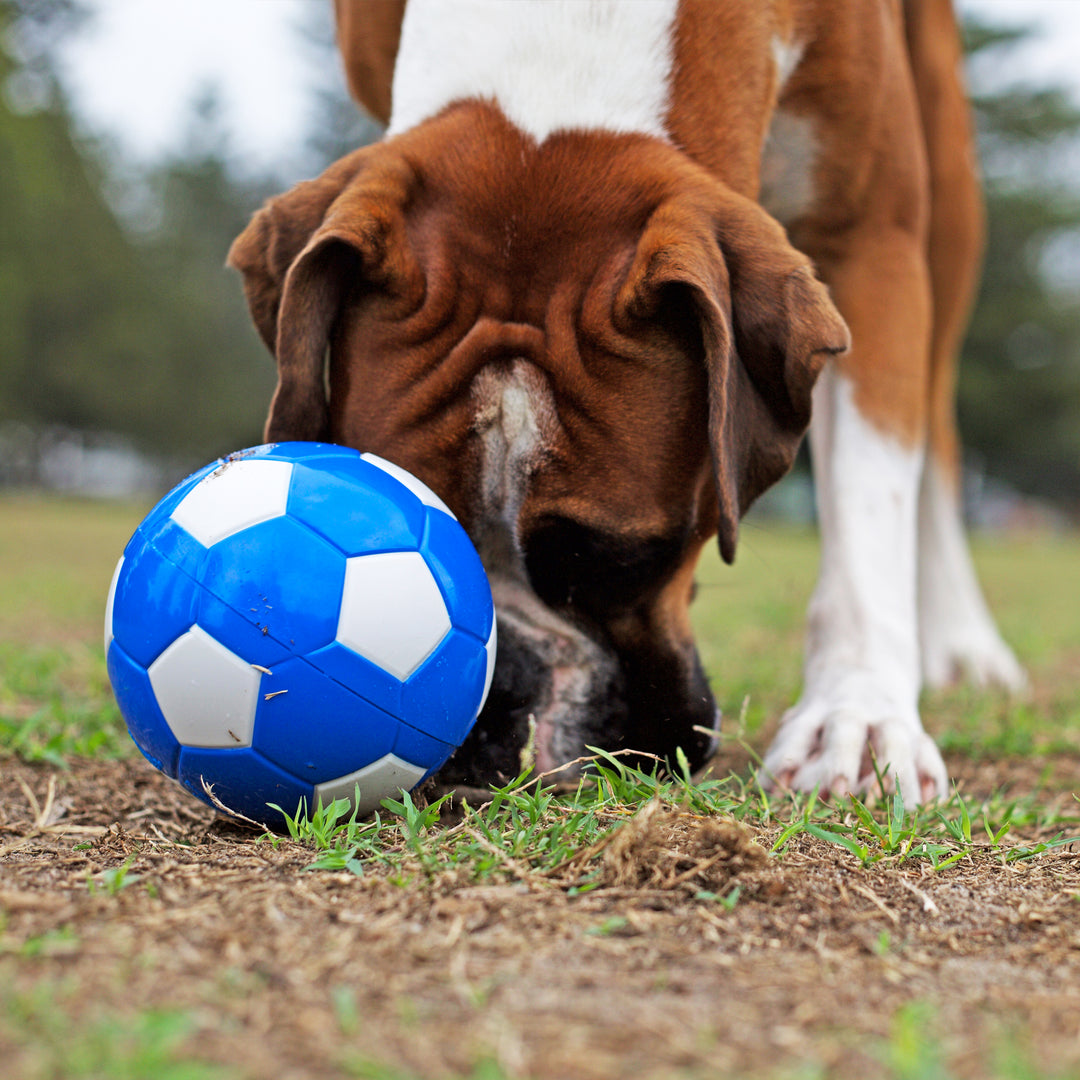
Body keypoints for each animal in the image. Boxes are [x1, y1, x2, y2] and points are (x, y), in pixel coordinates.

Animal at [227, 0, 1019, 803]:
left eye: (626, 562)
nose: (501, 693)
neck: (558, 37)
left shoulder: (872, 235)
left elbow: (868, 496)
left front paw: (856, 717)